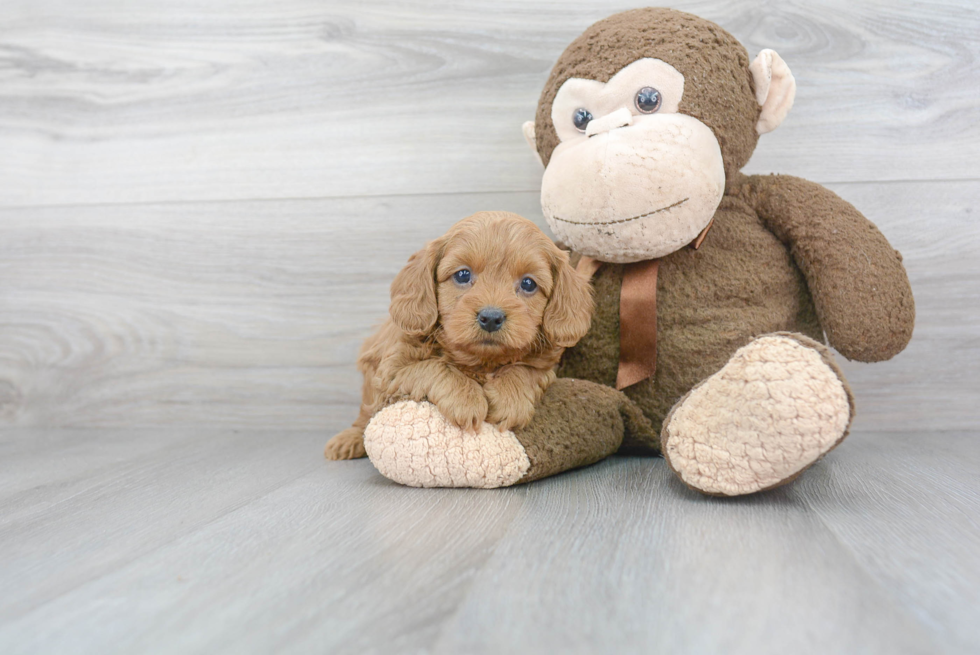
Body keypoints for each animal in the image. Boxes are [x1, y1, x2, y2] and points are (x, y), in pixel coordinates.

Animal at [326, 210, 592, 462]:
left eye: (528, 284)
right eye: (463, 275)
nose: (491, 317)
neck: (480, 362)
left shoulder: (545, 367)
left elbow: (524, 370)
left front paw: (510, 399)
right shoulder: (391, 372)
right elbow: (435, 367)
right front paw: (466, 400)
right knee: (363, 417)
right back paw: (348, 441)